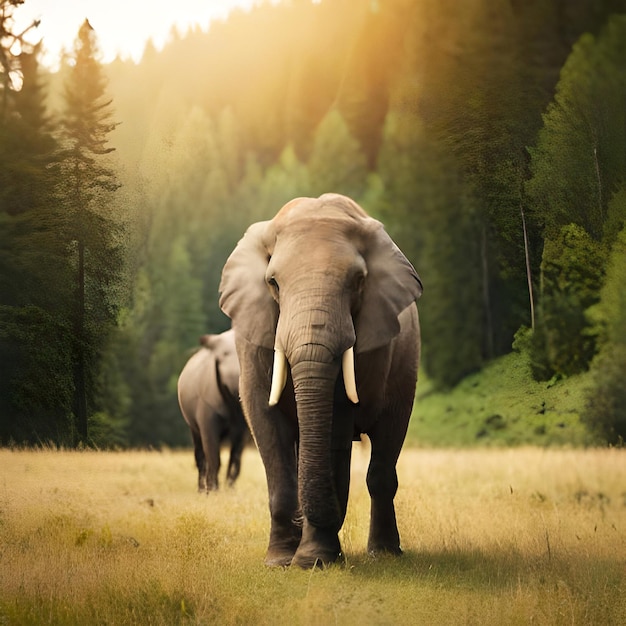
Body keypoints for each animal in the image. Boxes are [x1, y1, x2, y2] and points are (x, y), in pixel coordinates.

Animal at [176, 330, 249, 490]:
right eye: (223, 354)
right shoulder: (208, 426)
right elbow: (214, 460)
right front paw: (213, 488)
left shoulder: (242, 431)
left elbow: (235, 462)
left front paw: (230, 488)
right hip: (195, 430)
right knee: (201, 459)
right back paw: (202, 488)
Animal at [217, 194, 422, 564]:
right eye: (273, 283)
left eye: (358, 281)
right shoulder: (252, 333)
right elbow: (266, 423)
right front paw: (280, 561)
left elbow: (336, 421)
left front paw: (314, 560)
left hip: (405, 366)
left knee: (384, 454)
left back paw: (383, 554)